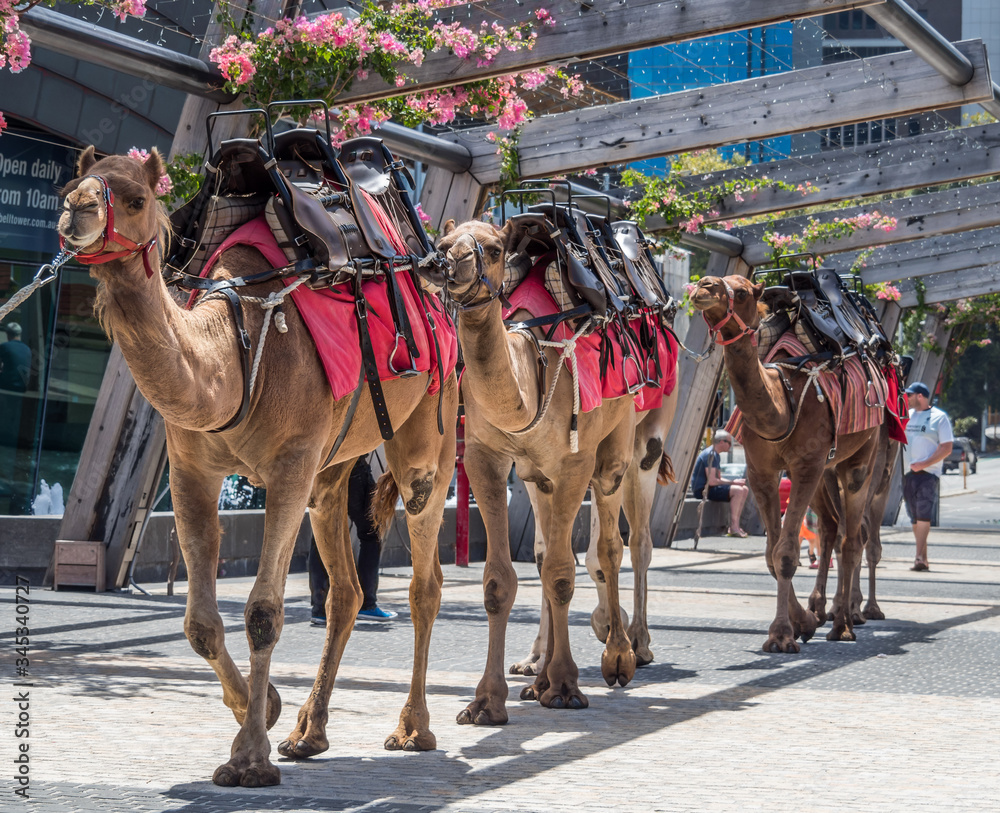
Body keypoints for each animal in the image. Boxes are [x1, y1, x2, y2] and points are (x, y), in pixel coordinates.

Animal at [58, 147, 457, 786]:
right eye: (73, 184)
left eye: (138, 198)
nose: (78, 209)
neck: (238, 351)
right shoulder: (190, 468)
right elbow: (199, 623)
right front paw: (263, 709)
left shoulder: (290, 464)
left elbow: (264, 613)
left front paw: (248, 757)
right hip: (333, 467)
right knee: (344, 591)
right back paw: (308, 732)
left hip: (430, 427)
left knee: (425, 579)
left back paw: (412, 728)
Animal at [424, 217, 650, 721]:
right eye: (443, 242)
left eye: (492, 249)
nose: (444, 263)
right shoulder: (485, 459)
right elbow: (500, 580)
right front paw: (486, 701)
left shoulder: (574, 463)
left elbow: (565, 572)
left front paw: (566, 687)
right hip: (536, 478)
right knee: (547, 553)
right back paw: (538, 676)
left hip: (616, 443)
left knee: (609, 546)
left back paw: (619, 658)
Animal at [691, 275, 882, 652]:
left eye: (744, 291)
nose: (703, 286)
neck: (784, 404)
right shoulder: (760, 471)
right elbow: (770, 553)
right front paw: (802, 623)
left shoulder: (806, 465)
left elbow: (786, 554)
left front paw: (781, 635)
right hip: (827, 470)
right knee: (832, 529)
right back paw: (827, 613)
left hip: (862, 455)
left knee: (854, 537)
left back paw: (844, 625)